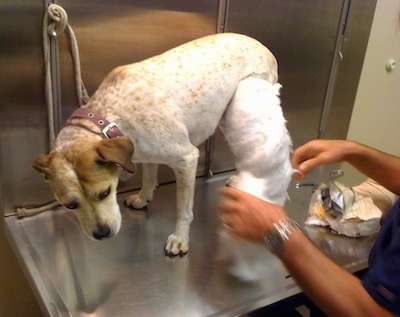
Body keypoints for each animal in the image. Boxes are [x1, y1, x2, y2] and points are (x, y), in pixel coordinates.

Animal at [31, 32, 292, 256]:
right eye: (69, 205)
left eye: (105, 192)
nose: (102, 234)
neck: (109, 118)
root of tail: (258, 43)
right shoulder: (144, 153)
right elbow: (148, 177)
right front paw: (142, 198)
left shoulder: (187, 159)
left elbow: (183, 210)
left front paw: (180, 239)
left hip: (240, 111)